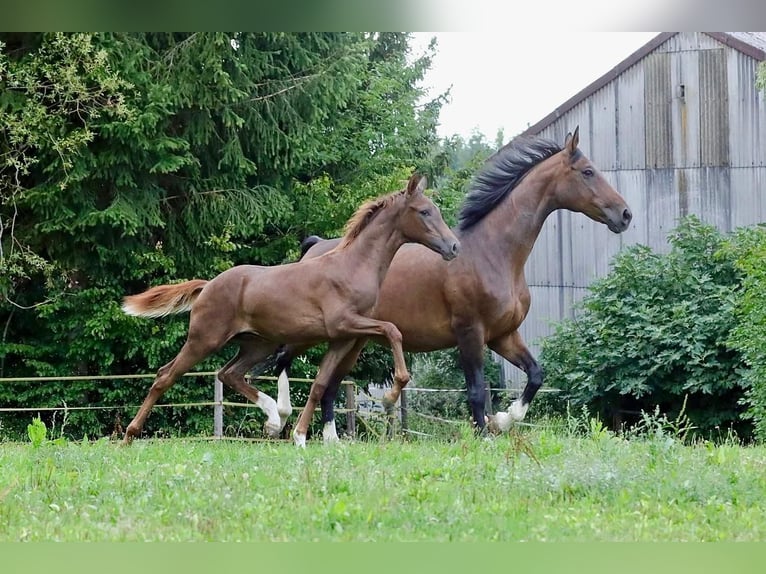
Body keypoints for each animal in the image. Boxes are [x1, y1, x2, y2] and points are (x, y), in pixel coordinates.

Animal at [120, 173, 460, 446]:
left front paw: (299, 436)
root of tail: (209, 285)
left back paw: (273, 419)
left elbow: (320, 385)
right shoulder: (345, 324)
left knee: (229, 373)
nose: (454, 247)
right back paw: (129, 435)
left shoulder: (343, 337)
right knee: (166, 376)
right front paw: (390, 396)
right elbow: (393, 330)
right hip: (205, 339)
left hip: (257, 344)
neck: (352, 266)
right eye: (424, 212)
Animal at [260, 127, 633, 440]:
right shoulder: (470, 332)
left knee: (330, 385)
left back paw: (331, 439)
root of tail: (314, 248)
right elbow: (477, 390)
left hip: (352, 339)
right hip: (316, 330)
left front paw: (503, 419)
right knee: (284, 358)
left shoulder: (503, 336)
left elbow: (536, 374)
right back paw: (279, 418)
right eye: (587, 171)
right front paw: (484, 434)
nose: (625, 214)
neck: (494, 253)